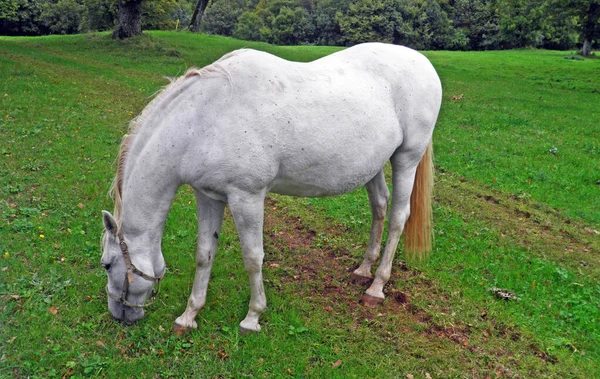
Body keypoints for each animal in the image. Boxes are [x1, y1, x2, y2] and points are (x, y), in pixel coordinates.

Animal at [101, 43, 440, 334]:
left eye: (106, 264)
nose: (119, 315)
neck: (205, 117)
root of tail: (422, 62)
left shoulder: (247, 197)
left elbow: (253, 257)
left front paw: (253, 317)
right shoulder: (208, 196)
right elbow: (204, 254)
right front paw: (189, 315)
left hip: (406, 159)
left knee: (397, 217)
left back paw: (376, 286)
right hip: (373, 165)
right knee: (379, 206)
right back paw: (364, 269)